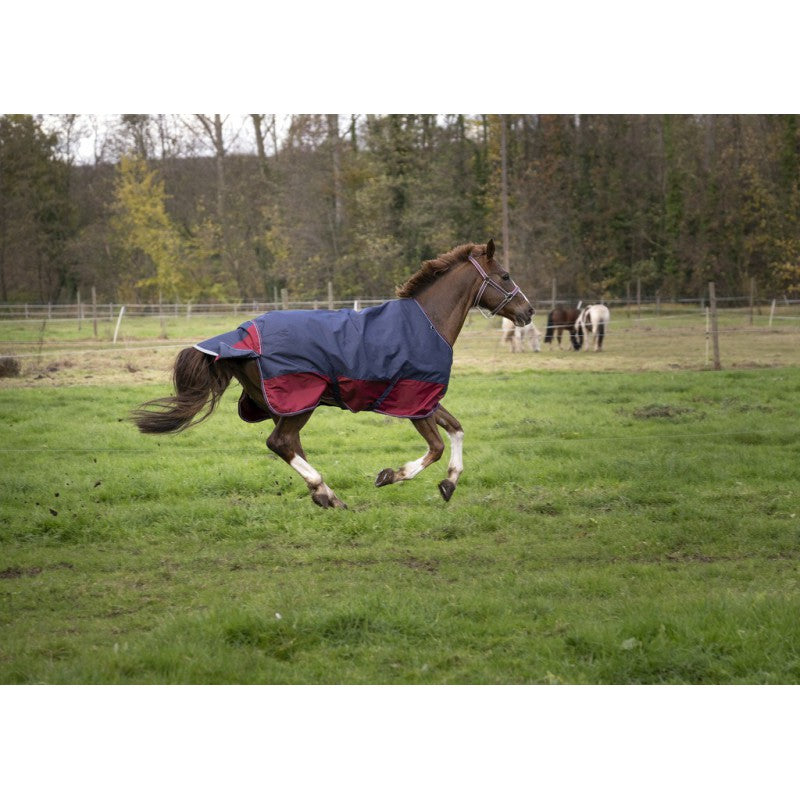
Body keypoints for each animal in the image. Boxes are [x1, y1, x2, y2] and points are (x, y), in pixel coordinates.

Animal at [132, 239, 534, 509]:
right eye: (505, 275)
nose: (528, 311)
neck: (427, 322)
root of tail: (239, 338)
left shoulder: (427, 399)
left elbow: (458, 429)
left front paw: (449, 484)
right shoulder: (414, 400)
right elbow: (435, 447)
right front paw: (389, 476)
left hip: (285, 406)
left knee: (289, 445)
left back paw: (323, 494)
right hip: (300, 401)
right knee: (279, 443)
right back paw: (325, 491)